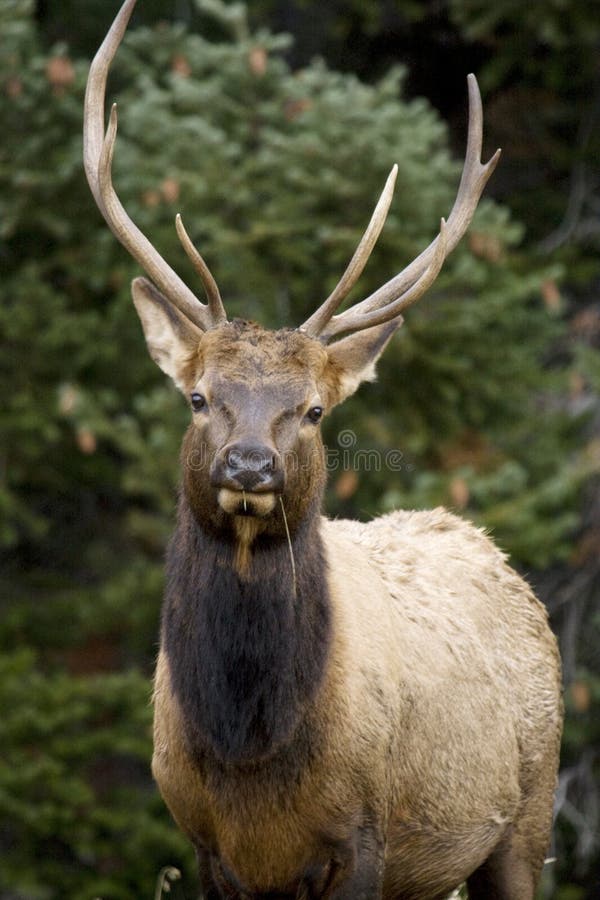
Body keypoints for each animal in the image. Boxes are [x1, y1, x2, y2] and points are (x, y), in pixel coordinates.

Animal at [84, 3, 564, 896]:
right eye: (199, 397)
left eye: (310, 410)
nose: (249, 466)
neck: (249, 754)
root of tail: (486, 544)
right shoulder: (202, 842)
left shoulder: (365, 834)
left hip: (528, 814)